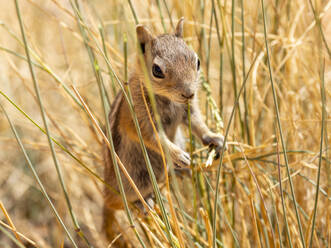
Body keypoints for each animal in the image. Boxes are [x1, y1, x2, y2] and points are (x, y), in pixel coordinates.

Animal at [104, 17, 227, 246]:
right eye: (157, 70)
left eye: (197, 61)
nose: (189, 93)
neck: (168, 100)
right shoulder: (141, 118)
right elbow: (155, 139)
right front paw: (179, 156)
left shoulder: (189, 110)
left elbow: (198, 124)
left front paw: (215, 138)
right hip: (134, 178)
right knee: (120, 203)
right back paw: (144, 202)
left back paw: (181, 172)